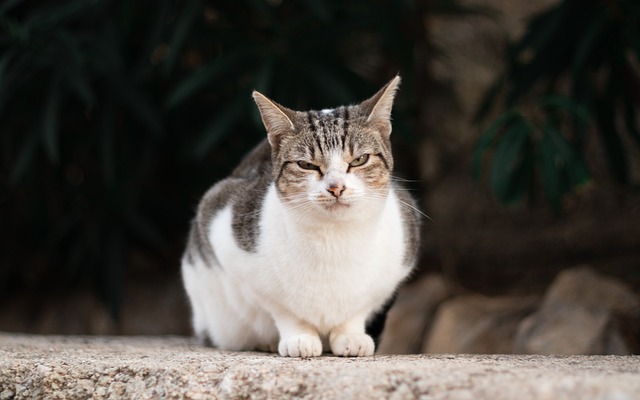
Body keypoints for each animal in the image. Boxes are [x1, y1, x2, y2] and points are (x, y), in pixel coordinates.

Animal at [180, 76, 420, 358]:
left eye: (359, 160)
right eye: (306, 165)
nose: (336, 187)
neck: (334, 238)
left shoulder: (397, 262)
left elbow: (358, 309)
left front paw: (351, 335)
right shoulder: (220, 222)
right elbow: (284, 310)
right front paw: (299, 336)